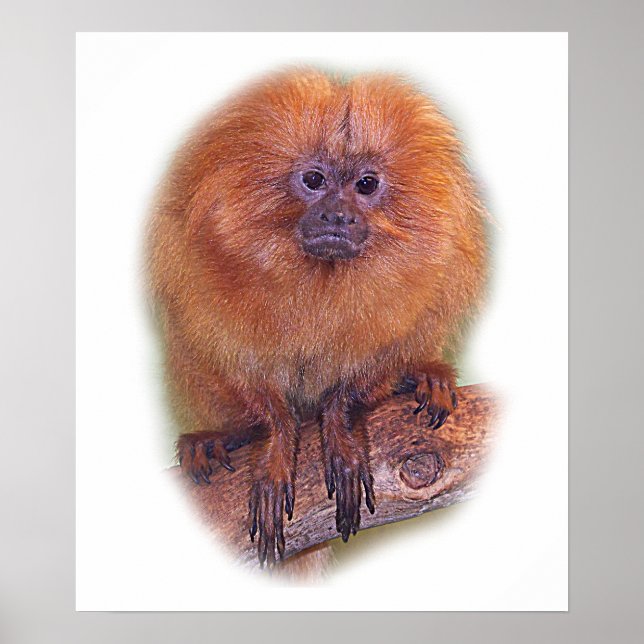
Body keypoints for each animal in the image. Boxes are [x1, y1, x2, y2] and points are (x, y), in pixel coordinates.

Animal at [147, 69, 488, 566]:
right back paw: (215, 439)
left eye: (366, 184)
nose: (337, 216)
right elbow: (237, 372)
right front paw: (274, 444)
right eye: (313, 179)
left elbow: (374, 367)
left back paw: (425, 378)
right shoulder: (190, 272)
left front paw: (340, 429)